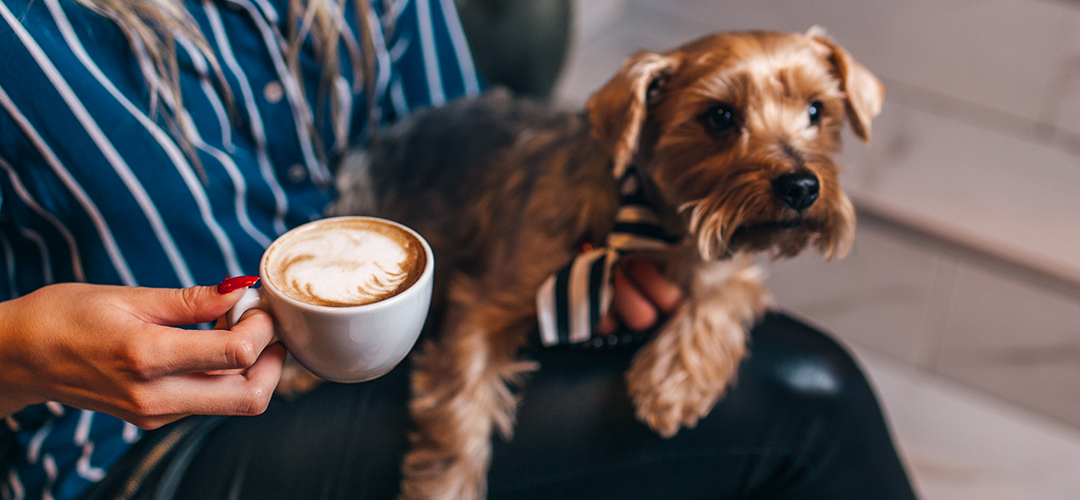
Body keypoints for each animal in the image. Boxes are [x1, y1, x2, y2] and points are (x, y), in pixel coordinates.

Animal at [324, 28, 881, 500]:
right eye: (720, 117)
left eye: (817, 110)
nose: (801, 186)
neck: (655, 226)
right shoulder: (484, 305)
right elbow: (460, 413)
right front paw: (444, 488)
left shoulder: (726, 261)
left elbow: (722, 299)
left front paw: (675, 384)